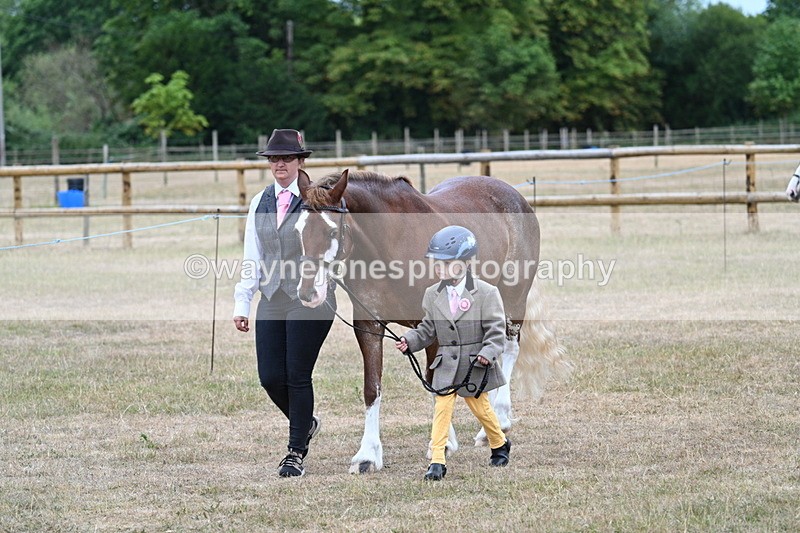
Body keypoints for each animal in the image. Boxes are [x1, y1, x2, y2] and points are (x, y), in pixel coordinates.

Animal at [293, 168, 572, 474]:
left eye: (332, 231)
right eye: (297, 230)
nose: (307, 293)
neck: (389, 244)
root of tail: (514, 195)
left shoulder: (433, 326)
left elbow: (436, 383)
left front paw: (443, 443)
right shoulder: (369, 326)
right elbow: (372, 388)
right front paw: (367, 455)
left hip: (513, 297)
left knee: (509, 348)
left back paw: (496, 423)